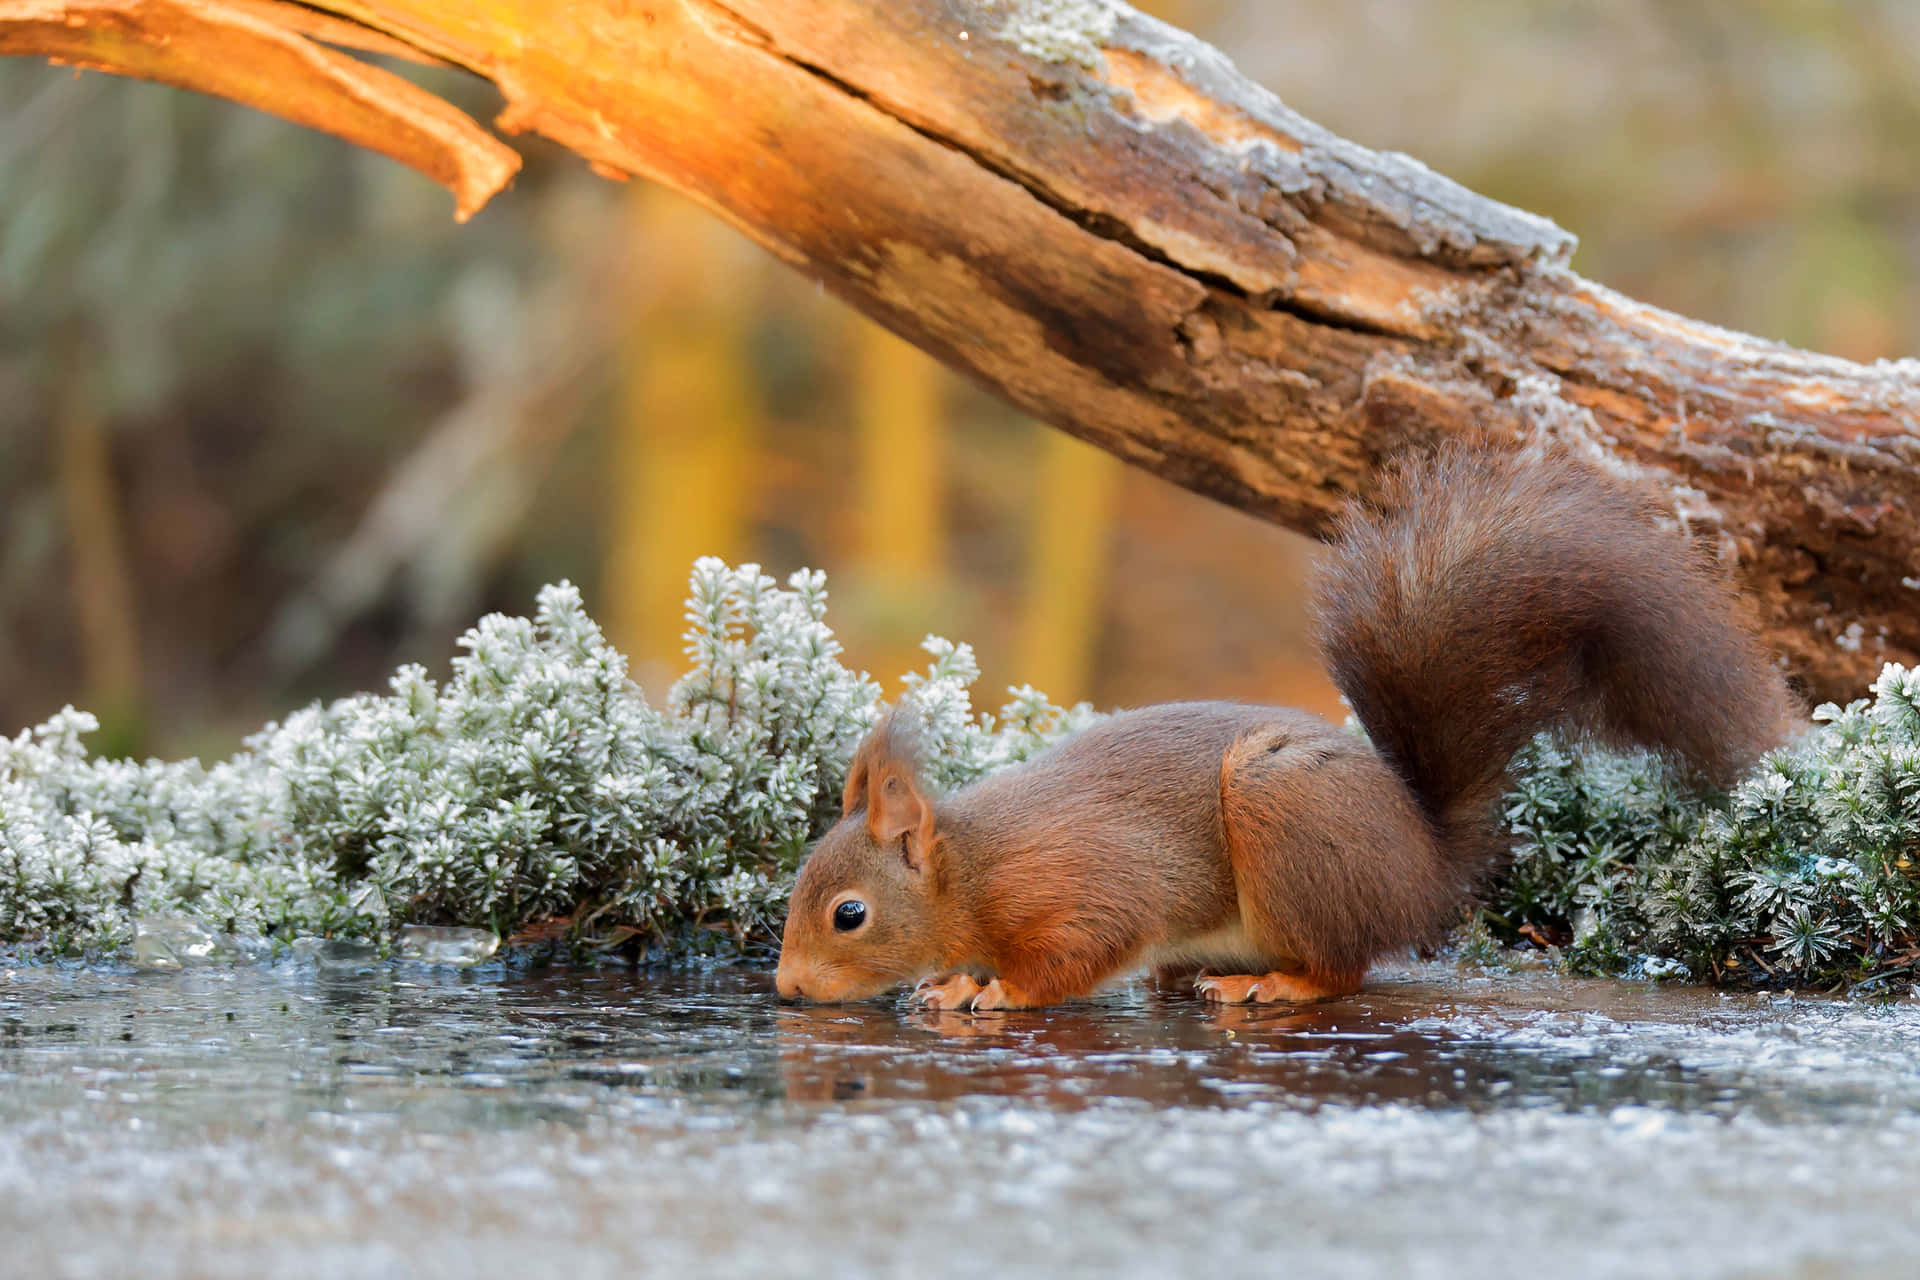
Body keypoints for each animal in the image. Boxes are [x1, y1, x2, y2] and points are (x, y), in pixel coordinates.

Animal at [771, 445, 1789, 1013]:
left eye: (849, 914)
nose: (786, 989)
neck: (974, 872)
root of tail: (1424, 865)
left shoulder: (1080, 889)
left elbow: (1077, 955)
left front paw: (984, 990)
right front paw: (947, 981)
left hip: (1285, 817)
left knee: (1342, 970)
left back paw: (1273, 983)